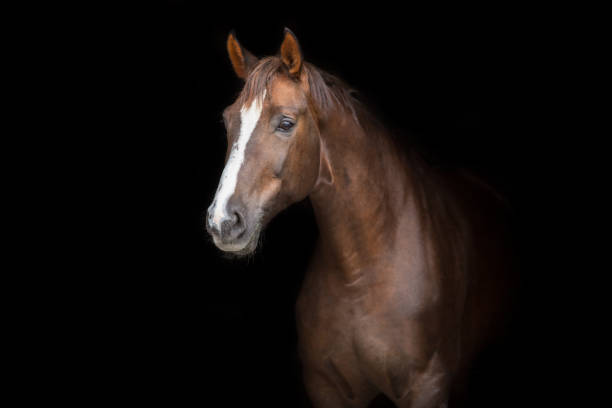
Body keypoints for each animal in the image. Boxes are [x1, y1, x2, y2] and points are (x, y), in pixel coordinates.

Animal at [206, 27, 512, 406]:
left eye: (286, 123)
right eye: (227, 120)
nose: (222, 221)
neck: (363, 272)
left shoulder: (427, 386)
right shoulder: (326, 387)